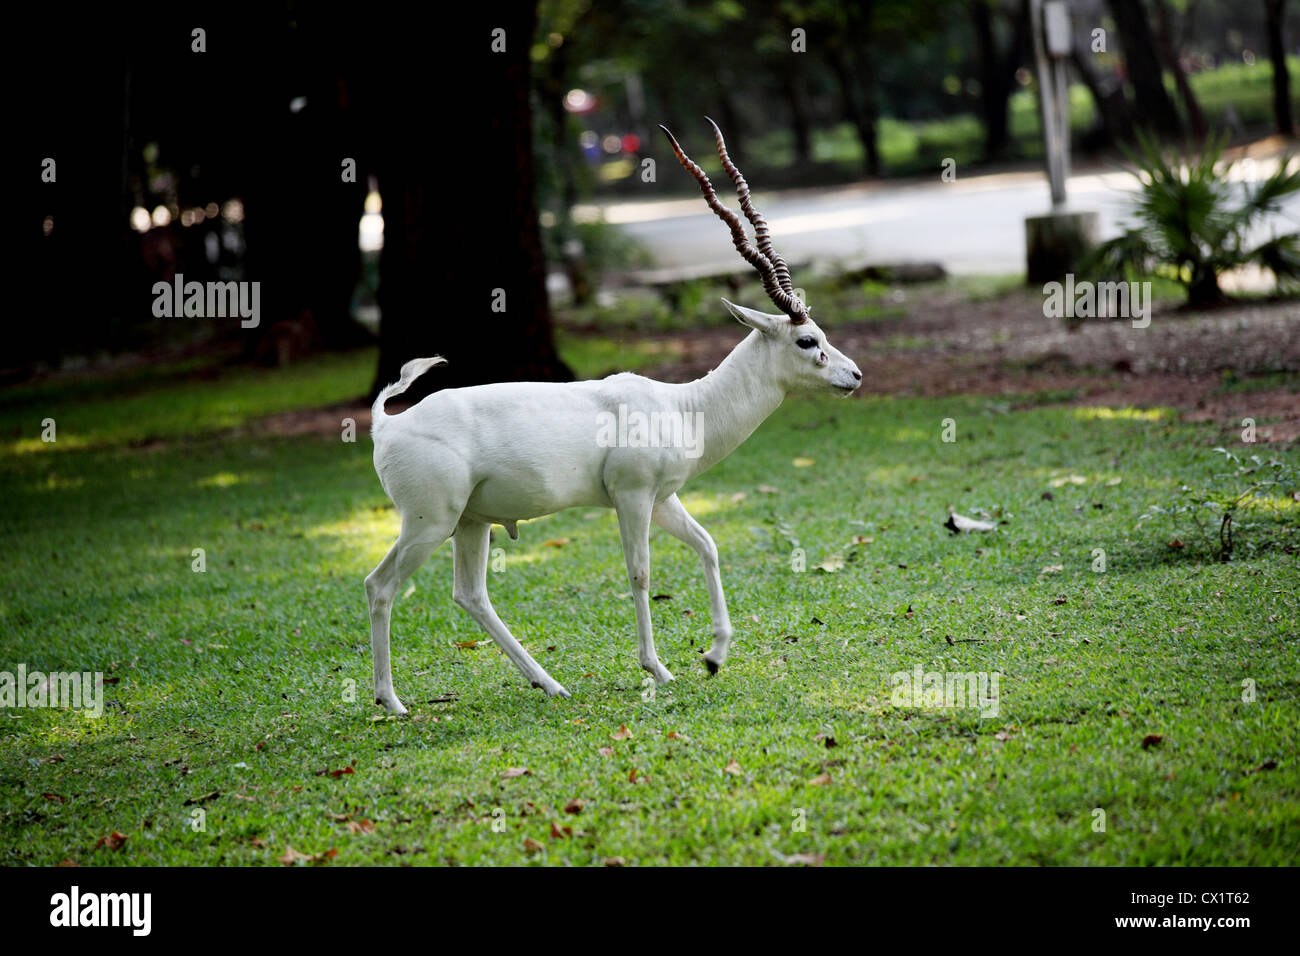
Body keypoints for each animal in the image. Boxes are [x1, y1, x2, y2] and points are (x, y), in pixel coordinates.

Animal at [366, 121, 857, 712]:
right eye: (808, 341)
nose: (855, 376)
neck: (683, 406)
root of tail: (387, 424)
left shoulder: (664, 497)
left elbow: (709, 545)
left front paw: (714, 657)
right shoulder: (632, 495)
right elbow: (640, 573)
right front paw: (658, 668)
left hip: (470, 522)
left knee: (469, 594)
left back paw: (549, 683)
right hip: (430, 521)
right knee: (381, 585)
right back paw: (392, 702)